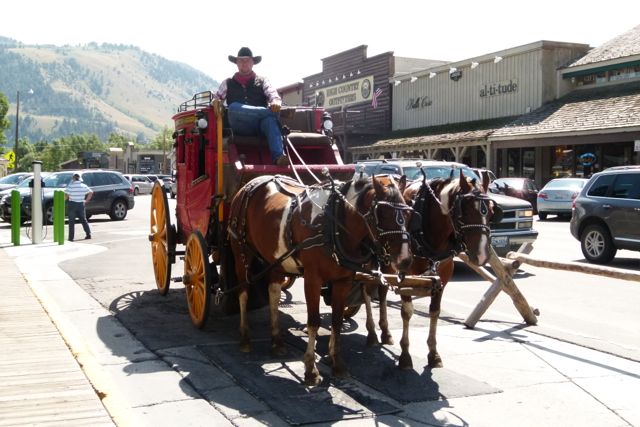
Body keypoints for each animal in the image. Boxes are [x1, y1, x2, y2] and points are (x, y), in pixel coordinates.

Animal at [228, 173, 412, 384]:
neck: (332, 224)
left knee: (273, 294)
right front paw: (311, 369)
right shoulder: (313, 279)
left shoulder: (343, 281)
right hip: (241, 251)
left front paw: (337, 363)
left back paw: (277, 341)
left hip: (274, 260)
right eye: (382, 213)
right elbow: (314, 321)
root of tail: (252, 183)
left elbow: (337, 321)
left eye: (408, 214)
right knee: (243, 293)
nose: (406, 260)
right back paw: (245, 337)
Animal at [360, 172, 496, 370]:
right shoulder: (405, 275)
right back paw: (371, 332)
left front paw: (433, 354)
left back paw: (385, 332)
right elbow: (407, 311)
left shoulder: (442, 277)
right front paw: (405, 355)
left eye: (492, 212)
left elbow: (435, 312)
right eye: (466, 211)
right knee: (366, 290)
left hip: (387, 262)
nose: (482, 255)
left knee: (382, 291)